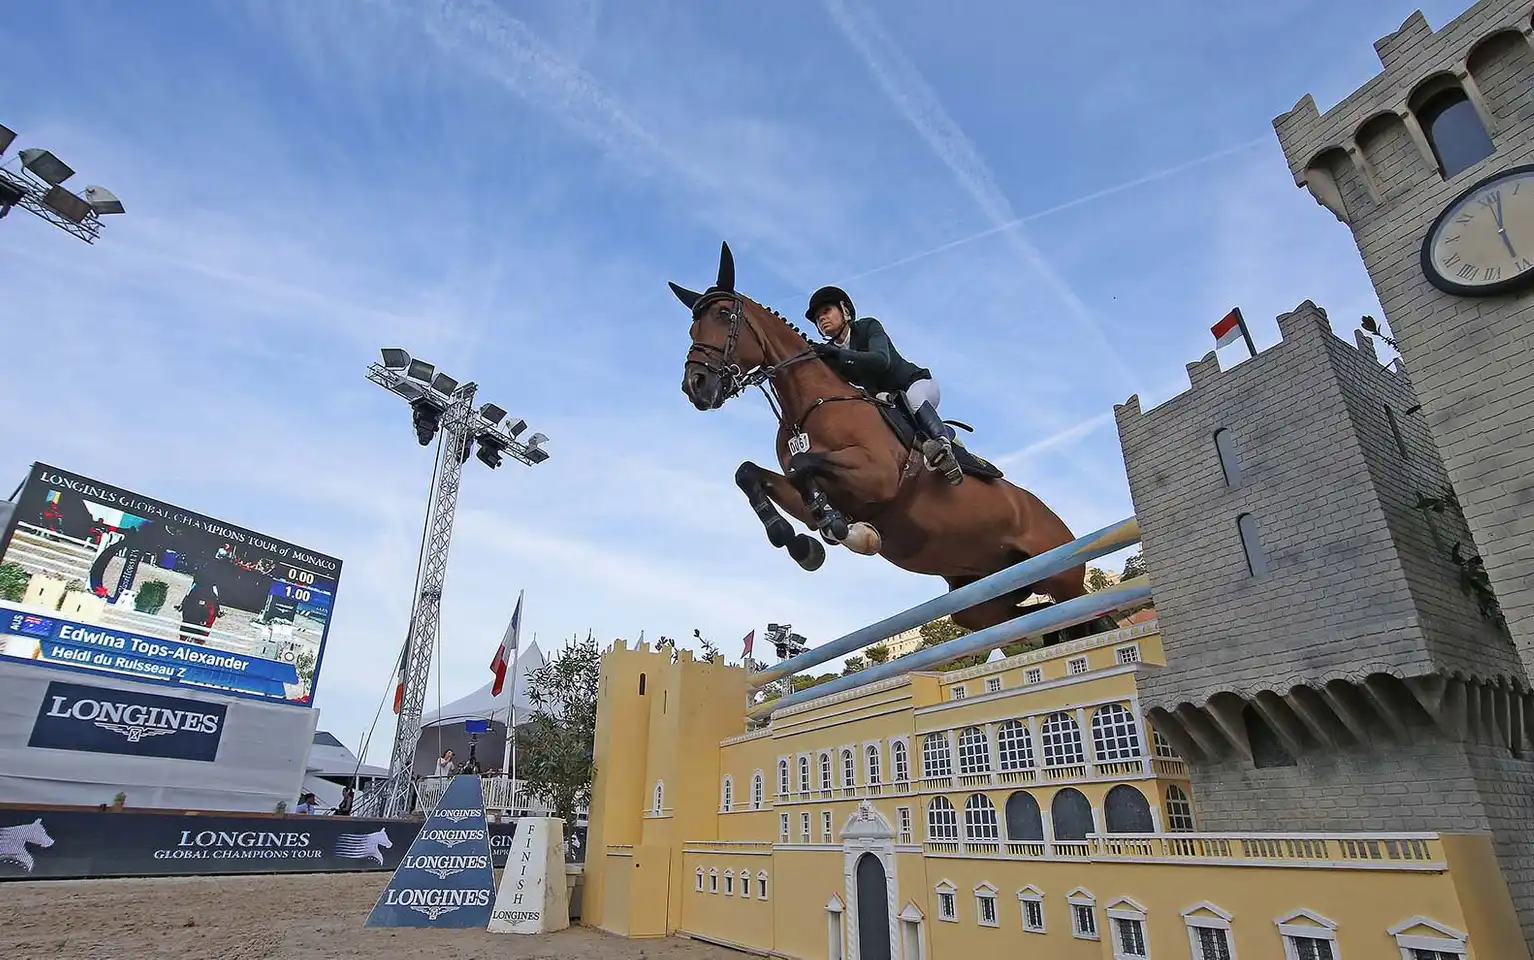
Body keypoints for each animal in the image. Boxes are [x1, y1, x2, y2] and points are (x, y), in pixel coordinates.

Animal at [674, 240, 1104, 634]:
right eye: (693, 326)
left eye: (724, 314)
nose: (695, 386)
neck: (808, 405)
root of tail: (1052, 516)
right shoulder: (815, 493)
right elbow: (750, 474)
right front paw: (804, 544)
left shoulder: (877, 477)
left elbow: (802, 464)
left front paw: (844, 531)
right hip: (983, 599)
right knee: (1029, 618)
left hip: (1061, 576)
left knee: (1084, 611)